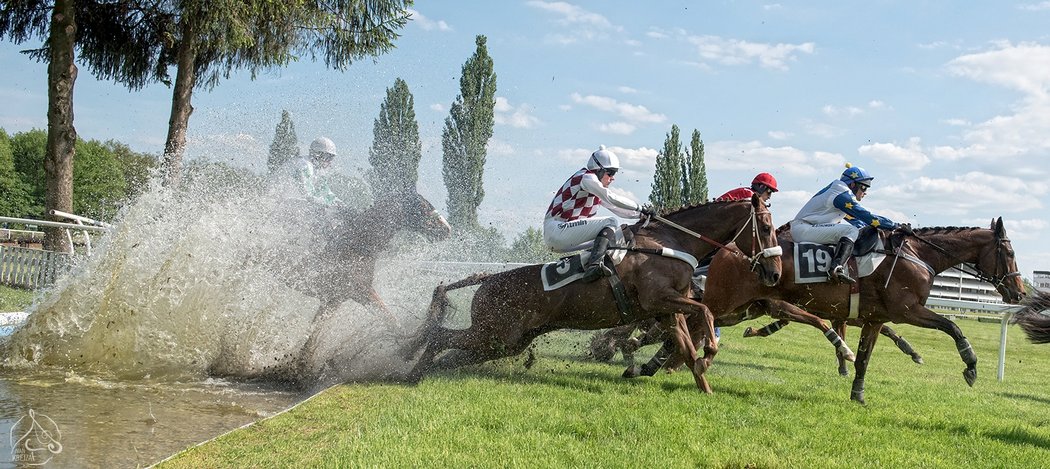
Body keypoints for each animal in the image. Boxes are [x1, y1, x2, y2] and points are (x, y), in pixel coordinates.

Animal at [401, 195, 781, 392]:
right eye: (765, 227)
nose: (775, 272)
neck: (670, 243)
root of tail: (488, 280)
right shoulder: (659, 301)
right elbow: (706, 314)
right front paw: (709, 355)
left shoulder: (668, 311)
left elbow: (687, 347)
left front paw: (703, 383)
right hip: (493, 331)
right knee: (439, 335)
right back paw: (409, 374)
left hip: (506, 341)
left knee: (452, 350)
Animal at [621, 219, 1024, 402]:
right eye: (1009, 251)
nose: (1019, 290)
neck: (916, 255)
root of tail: (728, 247)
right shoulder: (908, 309)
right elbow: (953, 327)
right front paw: (971, 367)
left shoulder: (875, 318)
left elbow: (864, 358)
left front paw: (857, 393)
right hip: (727, 300)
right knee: (687, 321)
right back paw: (653, 357)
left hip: (741, 307)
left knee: (687, 325)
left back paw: (651, 363)